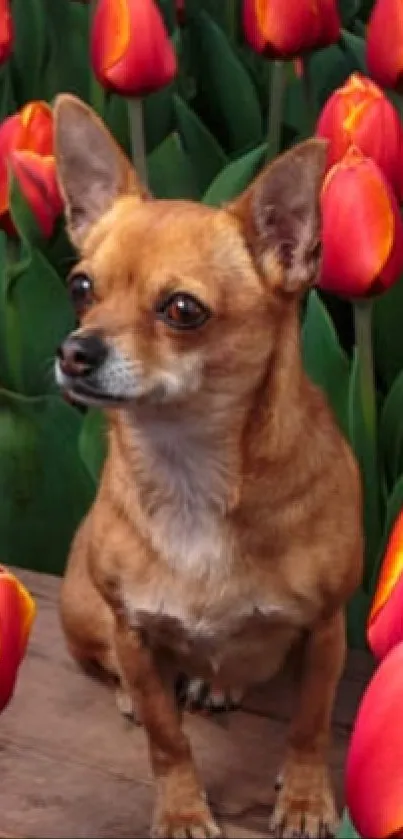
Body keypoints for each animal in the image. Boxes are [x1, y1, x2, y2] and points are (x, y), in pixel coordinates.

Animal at [52, 93, 362, 839]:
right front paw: (181, 809)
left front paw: (305, 799)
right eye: (81, 287)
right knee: (119, 671)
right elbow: (168, 740)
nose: (75, 350)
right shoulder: (134, 628)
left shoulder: (326, 629)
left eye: (183, 310)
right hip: (83, 609)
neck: (188, 470)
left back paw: (219, 679)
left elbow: (309, 725)